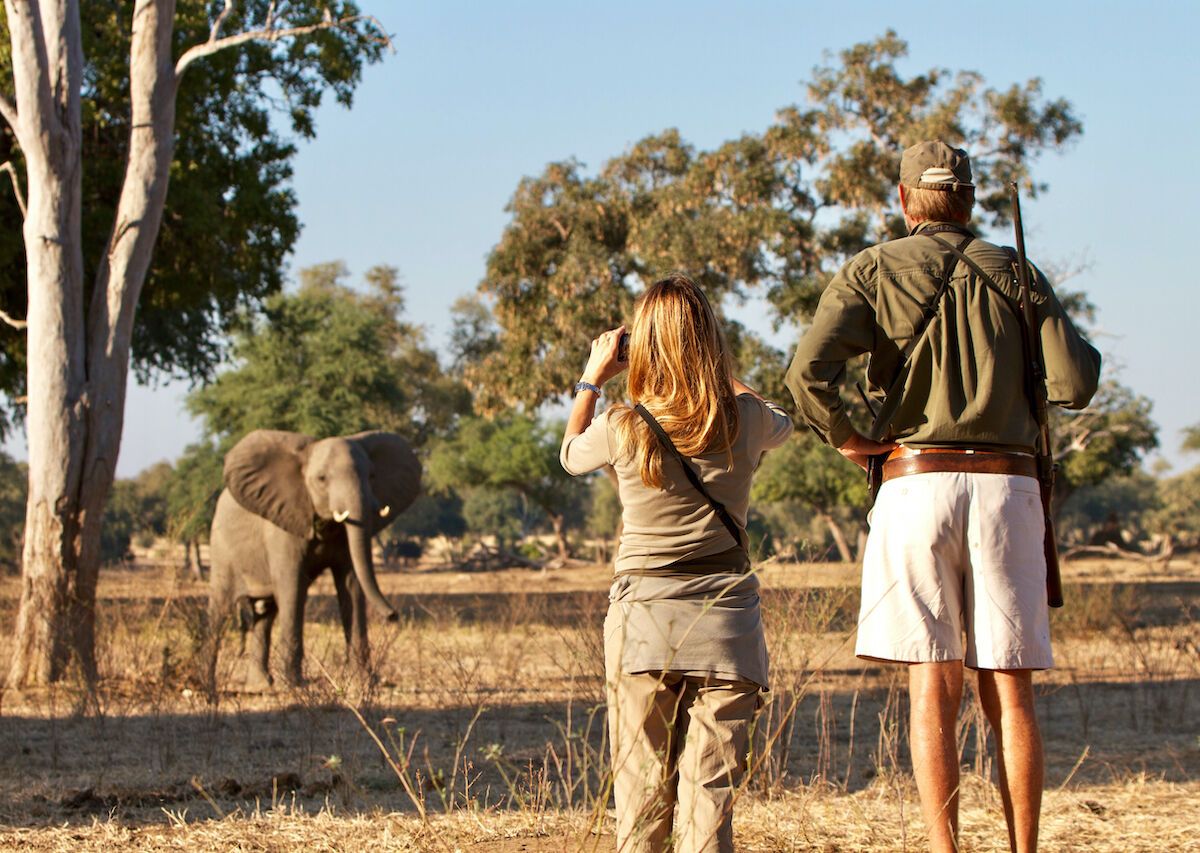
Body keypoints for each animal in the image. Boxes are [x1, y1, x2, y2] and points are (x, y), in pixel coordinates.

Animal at [202, 429, 417, 691]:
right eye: (322, 479)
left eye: (372, 475)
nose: (394, 615)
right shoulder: (283, 524)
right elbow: (293, 587)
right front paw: (294, 686)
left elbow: (352, 585)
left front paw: (364, 683)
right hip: (221, 549)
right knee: (219, 611)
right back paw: (209, 686)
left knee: (265, 615)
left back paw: (261, 686)